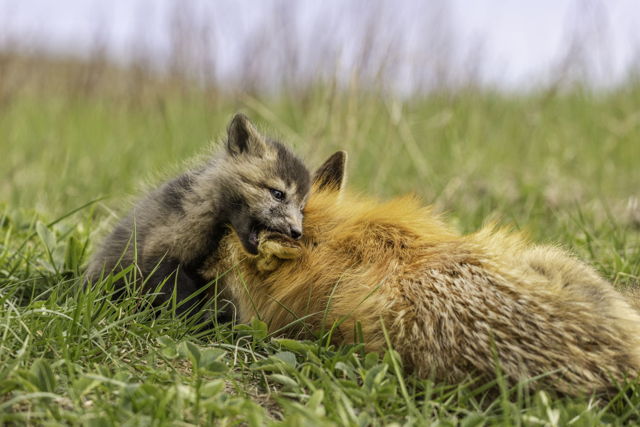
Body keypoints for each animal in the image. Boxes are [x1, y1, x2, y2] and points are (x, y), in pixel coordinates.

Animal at [85, 113, 311, 319]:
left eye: (302, 208)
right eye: (278, 194)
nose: (297, 232)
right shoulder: (159, 253)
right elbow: (183, 302)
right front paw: (193, 326)